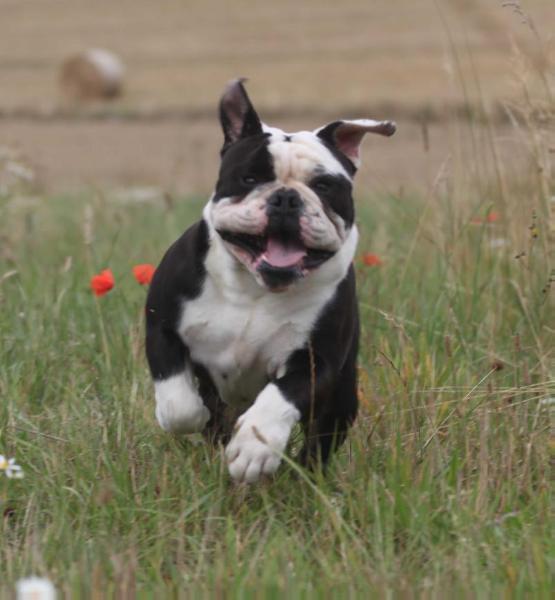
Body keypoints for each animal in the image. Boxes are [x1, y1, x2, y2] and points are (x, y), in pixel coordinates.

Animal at [144, 79, 396, 482]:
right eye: (249, 178)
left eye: (324, 186)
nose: (286, 198)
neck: (254, 288)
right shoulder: (161, 324)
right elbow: (180, 405)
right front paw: (197, 416)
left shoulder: (315, 361)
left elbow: (279, 398)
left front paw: (254, 447)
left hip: (341, 400)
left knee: (319, 442)